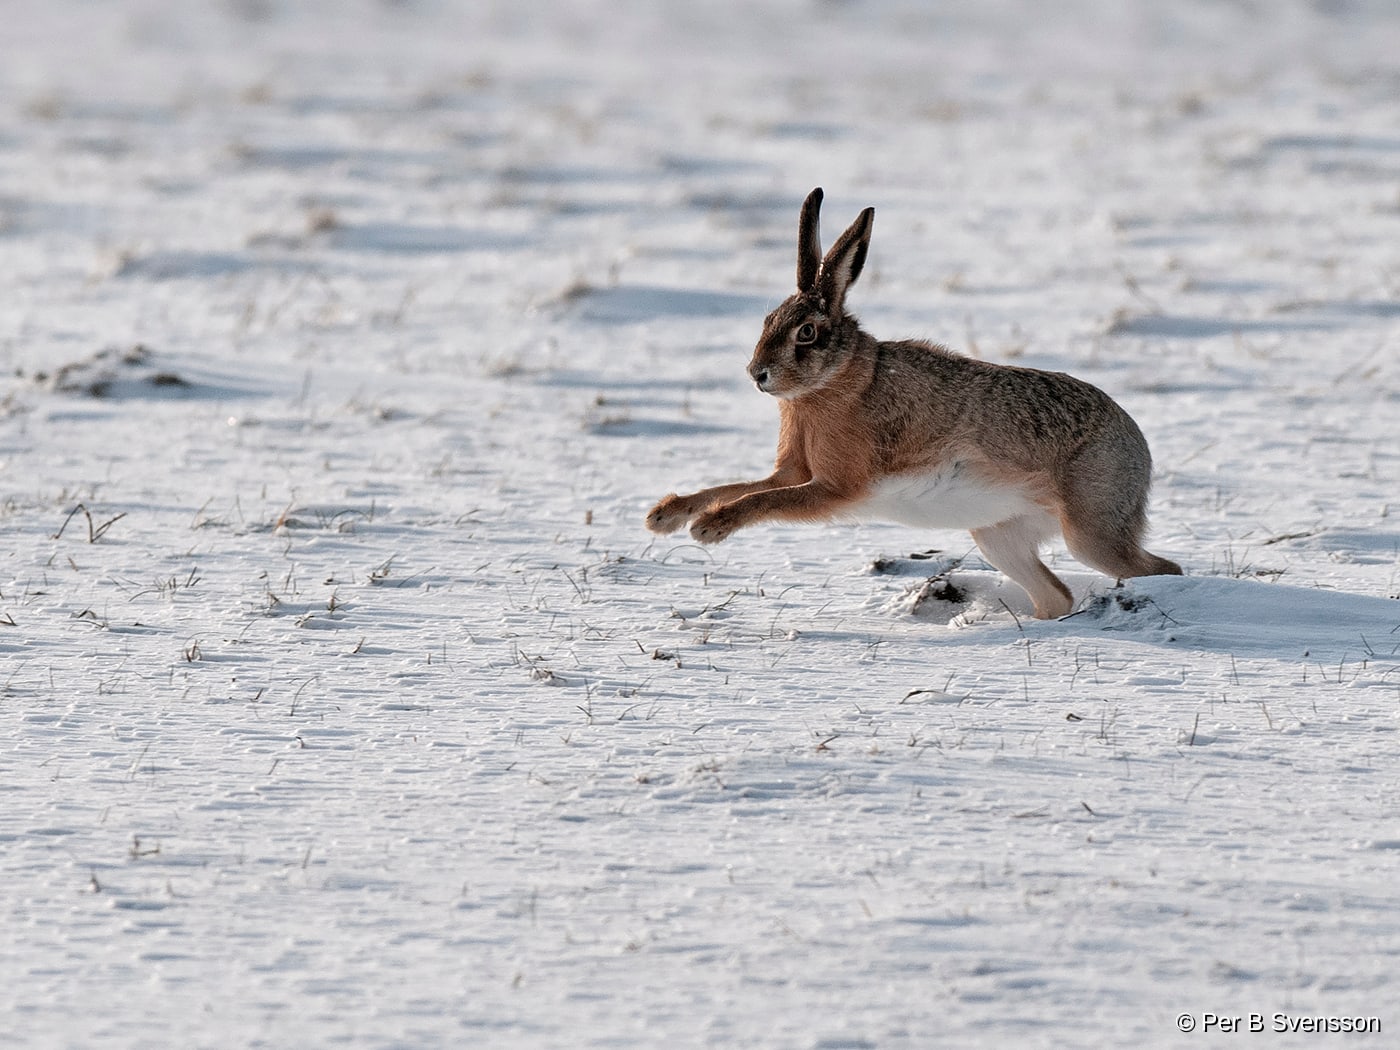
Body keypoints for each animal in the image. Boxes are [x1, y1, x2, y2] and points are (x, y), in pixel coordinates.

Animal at [646, 187, 1181, 619]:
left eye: (807, 333)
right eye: (767, 319)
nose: (758, 374)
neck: (839, 380)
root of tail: (1139, 446)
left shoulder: (834, 488)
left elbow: (764, 498)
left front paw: (709, 528)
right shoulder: (795, 469)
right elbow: (739, 485)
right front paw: (666, 516)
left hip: (1090, 528)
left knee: (1159, 567)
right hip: (997, 535)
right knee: (1057, 594)